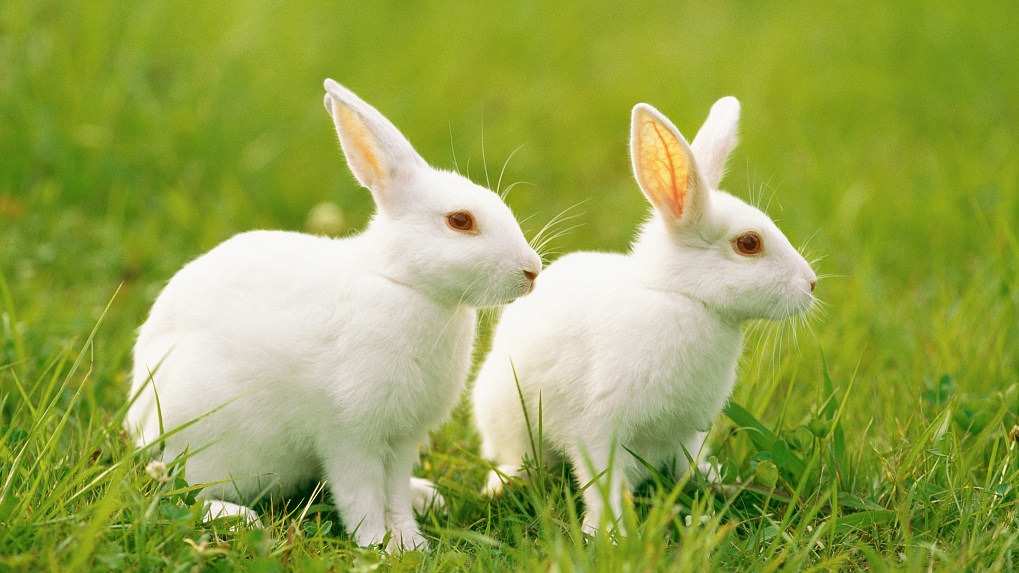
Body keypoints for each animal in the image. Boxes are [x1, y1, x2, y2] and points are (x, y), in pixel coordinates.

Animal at [126, 79, 542, 550]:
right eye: (460, 221)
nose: (532, 271)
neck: (402, 283)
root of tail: (139, 425)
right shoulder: (349, 436)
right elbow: (361, 495)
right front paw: (377, 545)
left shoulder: (402, 440)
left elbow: (393, 493)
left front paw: (409, 541)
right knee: (183, 491)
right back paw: (240, 518)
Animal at [471, 98, 817, 535]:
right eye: (749, 243)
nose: (811, 284)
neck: (680, 297)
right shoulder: (600, 430)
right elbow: (603, 485)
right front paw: (609, 534)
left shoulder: (685, 433)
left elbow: (685, 467)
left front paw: (712, 483)